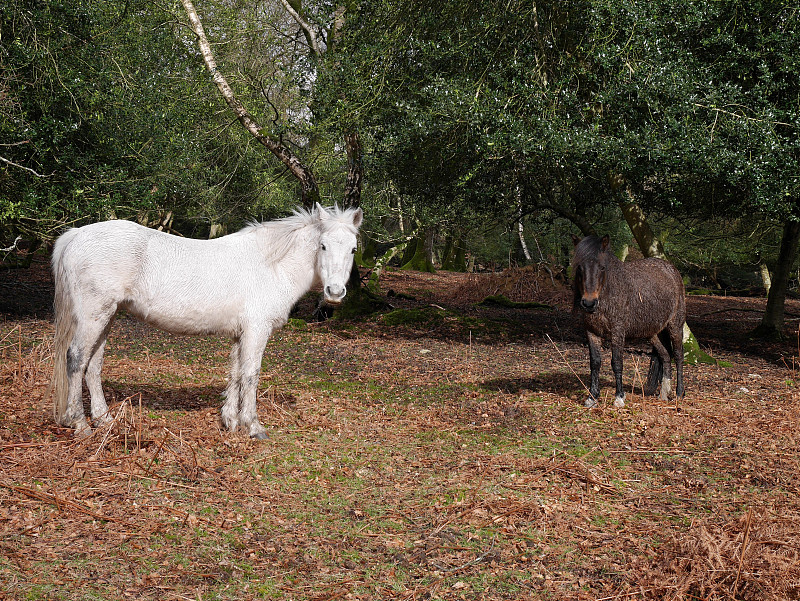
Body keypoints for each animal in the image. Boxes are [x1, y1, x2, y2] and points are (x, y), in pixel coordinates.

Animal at [50, 204, 362, 438]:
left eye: (353, 249)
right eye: (323, 246)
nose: (335, 292)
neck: (271, 264)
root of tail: (76, 234)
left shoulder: (241, 334)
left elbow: (235, 373)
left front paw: (231, 421)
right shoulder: (257, 330)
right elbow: (251, 374)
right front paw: (253, 426)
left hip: (107, 317)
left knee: (93, 366)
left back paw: (103, 419)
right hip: (94, 316)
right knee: (76, 359)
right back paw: (79, 423)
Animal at [572, 234, 684, 408]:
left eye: (602, 267)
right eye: (579, 267)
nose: (589, 303)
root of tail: (671, 270)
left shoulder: (618, 332)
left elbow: (617, 362)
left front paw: (619, 397)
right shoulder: (591, 332)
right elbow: (595, 362)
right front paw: (592, 397)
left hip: (675, 326)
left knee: (678, 356)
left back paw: (679, 393)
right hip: (653, 333)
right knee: (666, 356)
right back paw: (664, 394)